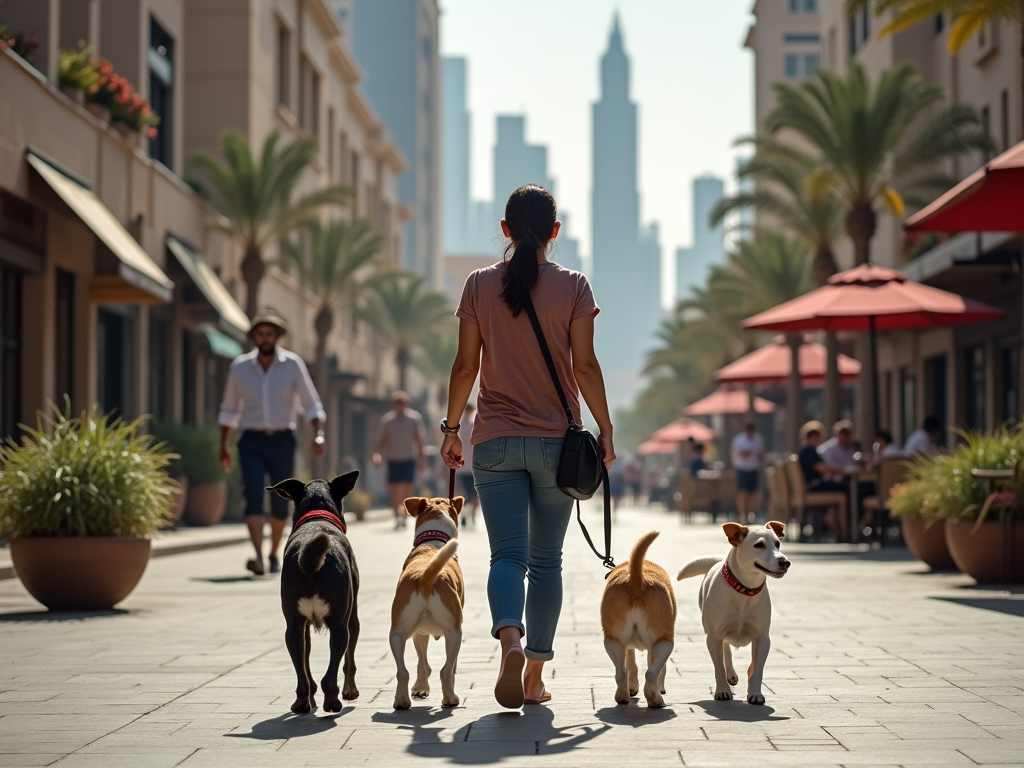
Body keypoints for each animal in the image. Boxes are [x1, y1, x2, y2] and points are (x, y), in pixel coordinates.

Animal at [268, 473, 360, 720]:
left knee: (301, 668)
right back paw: (333, 702)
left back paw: (302, 701)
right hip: (341, 623)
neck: (317, 517)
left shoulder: (301, 623)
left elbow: (305, 657)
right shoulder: (353, 617)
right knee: (334, 667)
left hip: (293, 625)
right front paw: (350, 690)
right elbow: (349, 660)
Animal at [387, 495, 464, 712]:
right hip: (455, 633)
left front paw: (421, 688)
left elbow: (423, 663)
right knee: (446, 670)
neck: (431, 543)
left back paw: (401, 701)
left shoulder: (419, 632)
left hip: (397, 633)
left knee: (402, 671)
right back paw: (451, 699)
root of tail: (424, 578)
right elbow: (450, 667)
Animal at [598, 536, 675, 708]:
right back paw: (656, 700)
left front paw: (632, 688)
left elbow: (631, 664)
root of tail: (636, 580)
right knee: (651, 673)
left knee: (621, 673)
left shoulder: (627, 646)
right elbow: (661, 669)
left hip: (613, 640)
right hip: (664, 641)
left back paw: (623, 697)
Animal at [679, 520, 790, 708]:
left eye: (778, 544)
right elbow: (719, 666)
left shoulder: (762, 638)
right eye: (759, 545)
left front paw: (755, 694)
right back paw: (729, 675)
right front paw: (722, 691)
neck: (744, 590)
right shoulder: (713, 636)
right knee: (726, 650)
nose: (785, 562)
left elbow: (757, 668)